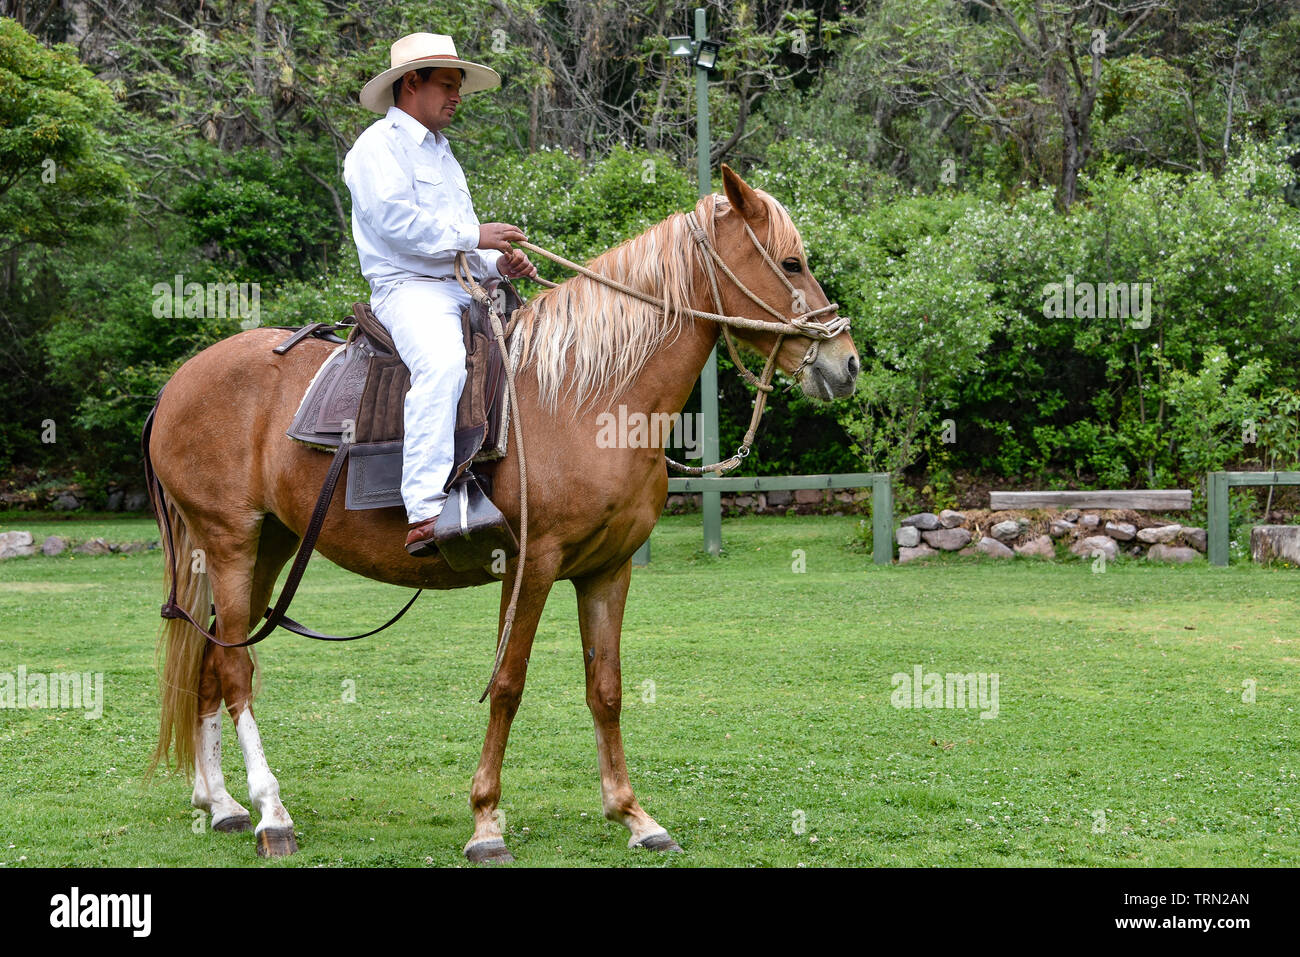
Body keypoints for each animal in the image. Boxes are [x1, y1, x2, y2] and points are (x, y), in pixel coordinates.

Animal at [147, 164, 863, 858]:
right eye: (792, 262)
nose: (846, 362)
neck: (586, 395)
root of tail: (178, 382)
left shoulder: (608, 570)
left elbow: (606, 689)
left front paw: (633, 816)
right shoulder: (531, 566)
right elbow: (508, 686)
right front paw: (486, 821)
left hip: (266, 546)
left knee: (209, 665)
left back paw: (222, 804)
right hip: (230, 542)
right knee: (236, 669)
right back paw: (271, 814)